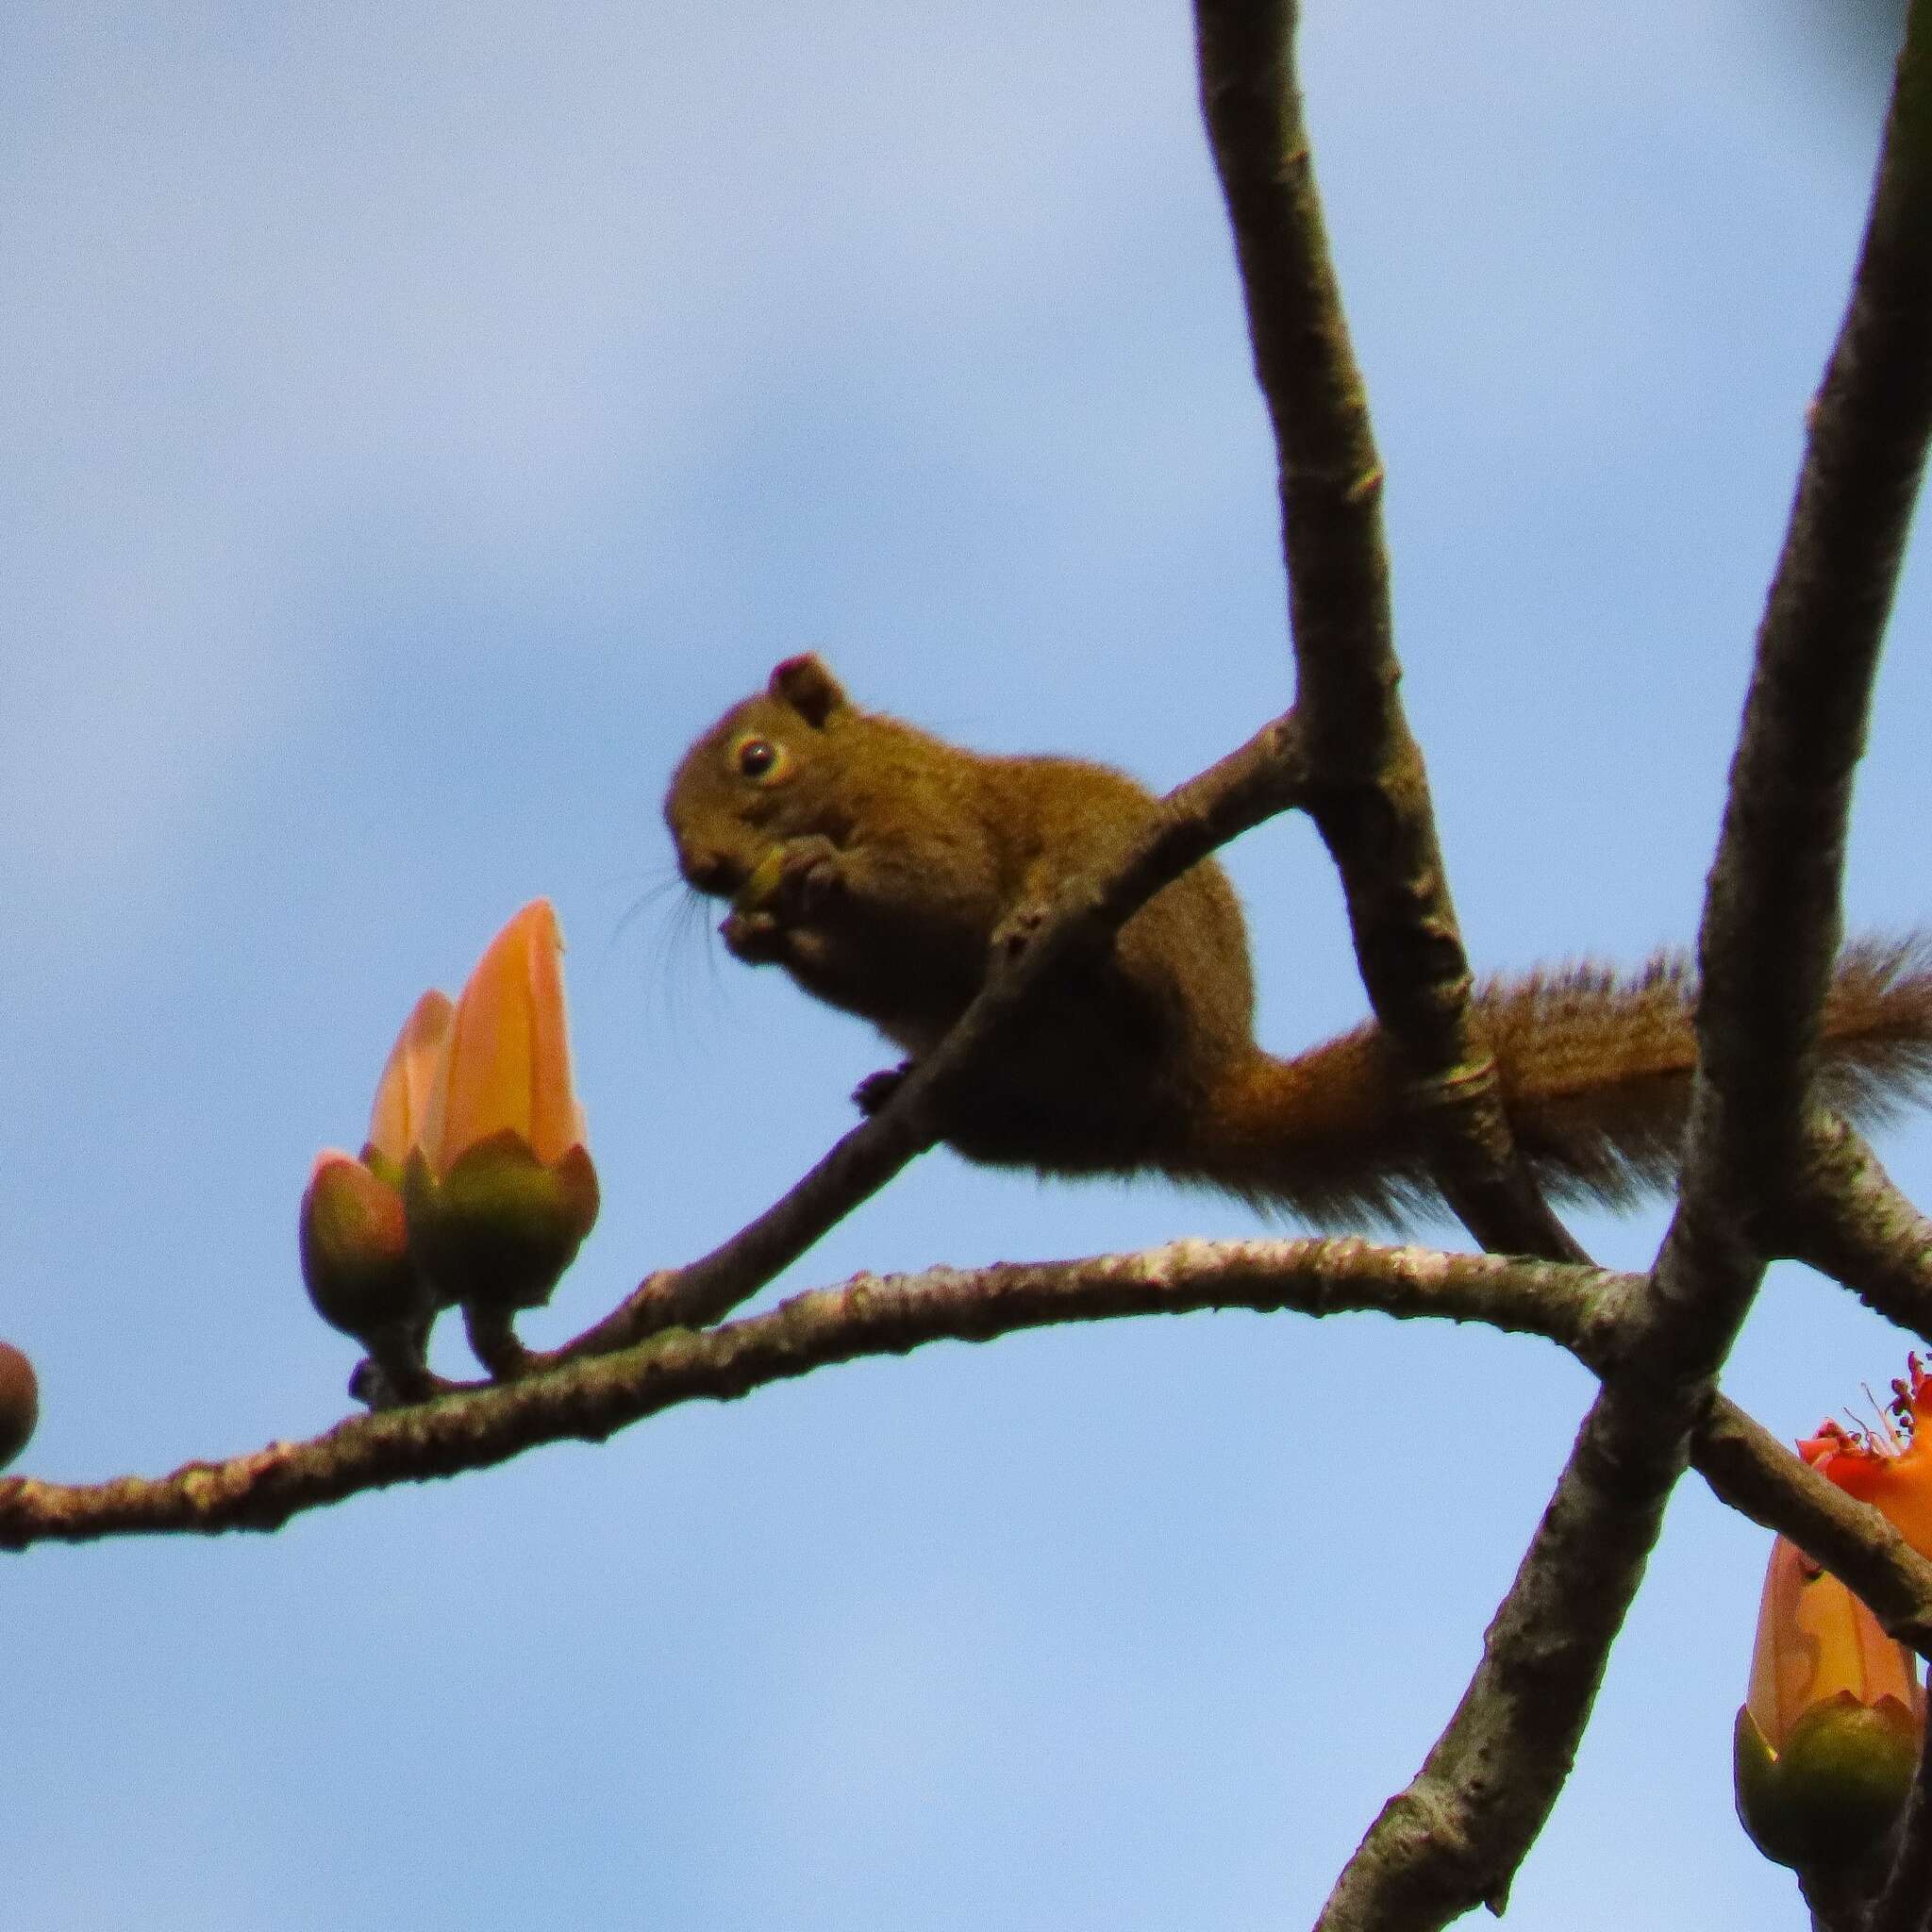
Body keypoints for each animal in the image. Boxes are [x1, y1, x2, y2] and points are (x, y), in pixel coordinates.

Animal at [660, 649, 1932, 1221]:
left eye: (757, 758)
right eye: (666, 817)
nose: (703, 868)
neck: (862, 773)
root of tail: (1215, 1080)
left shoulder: (936, 826)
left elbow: (931, 888)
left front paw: (813, 878)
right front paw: (757, 934)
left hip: (1154, 945)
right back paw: (907, 1089)